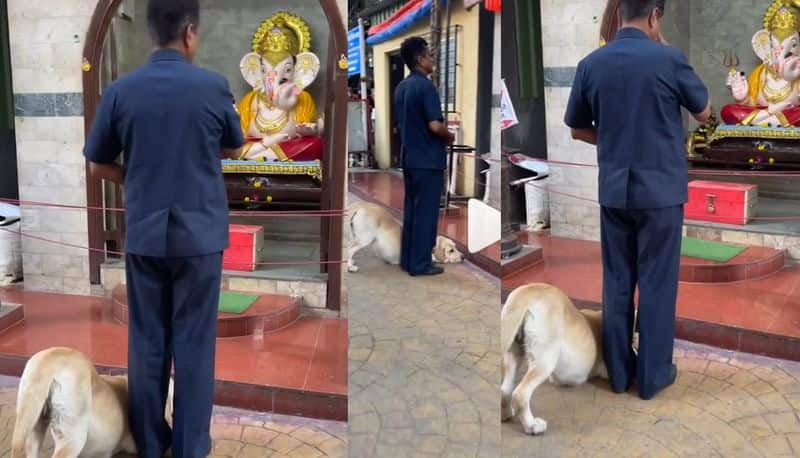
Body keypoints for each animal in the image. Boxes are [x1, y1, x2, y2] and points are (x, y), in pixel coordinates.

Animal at [500, 284, 608, 434]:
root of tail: (529, 291)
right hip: (544, 361)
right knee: (520, 394)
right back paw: (532, 426)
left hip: (513, 352)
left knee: (505, 389)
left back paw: (506, 414)